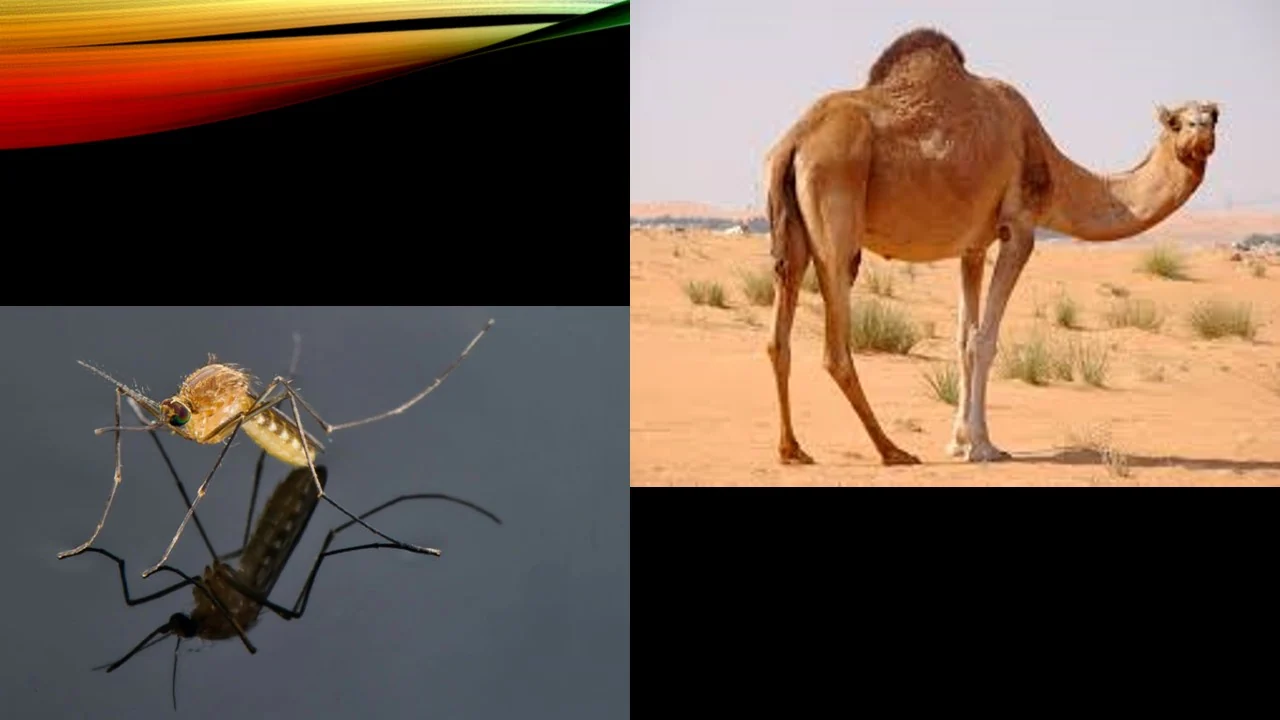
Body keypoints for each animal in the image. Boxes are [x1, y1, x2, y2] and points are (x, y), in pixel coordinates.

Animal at [763, 28, 1218, 466]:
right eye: (1176, 122)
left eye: (1214, 116)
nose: (1202, 133)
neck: (1050, 167)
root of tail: (794, 141)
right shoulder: (1019, 228)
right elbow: (985, 340)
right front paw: (983, 446)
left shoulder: (973, 247)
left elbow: (964, 339)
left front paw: (958, 442)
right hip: (836, 211)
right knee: (835, 346)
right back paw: (892, 451)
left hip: (791, 231)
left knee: (778, 335)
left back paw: (793, 449)